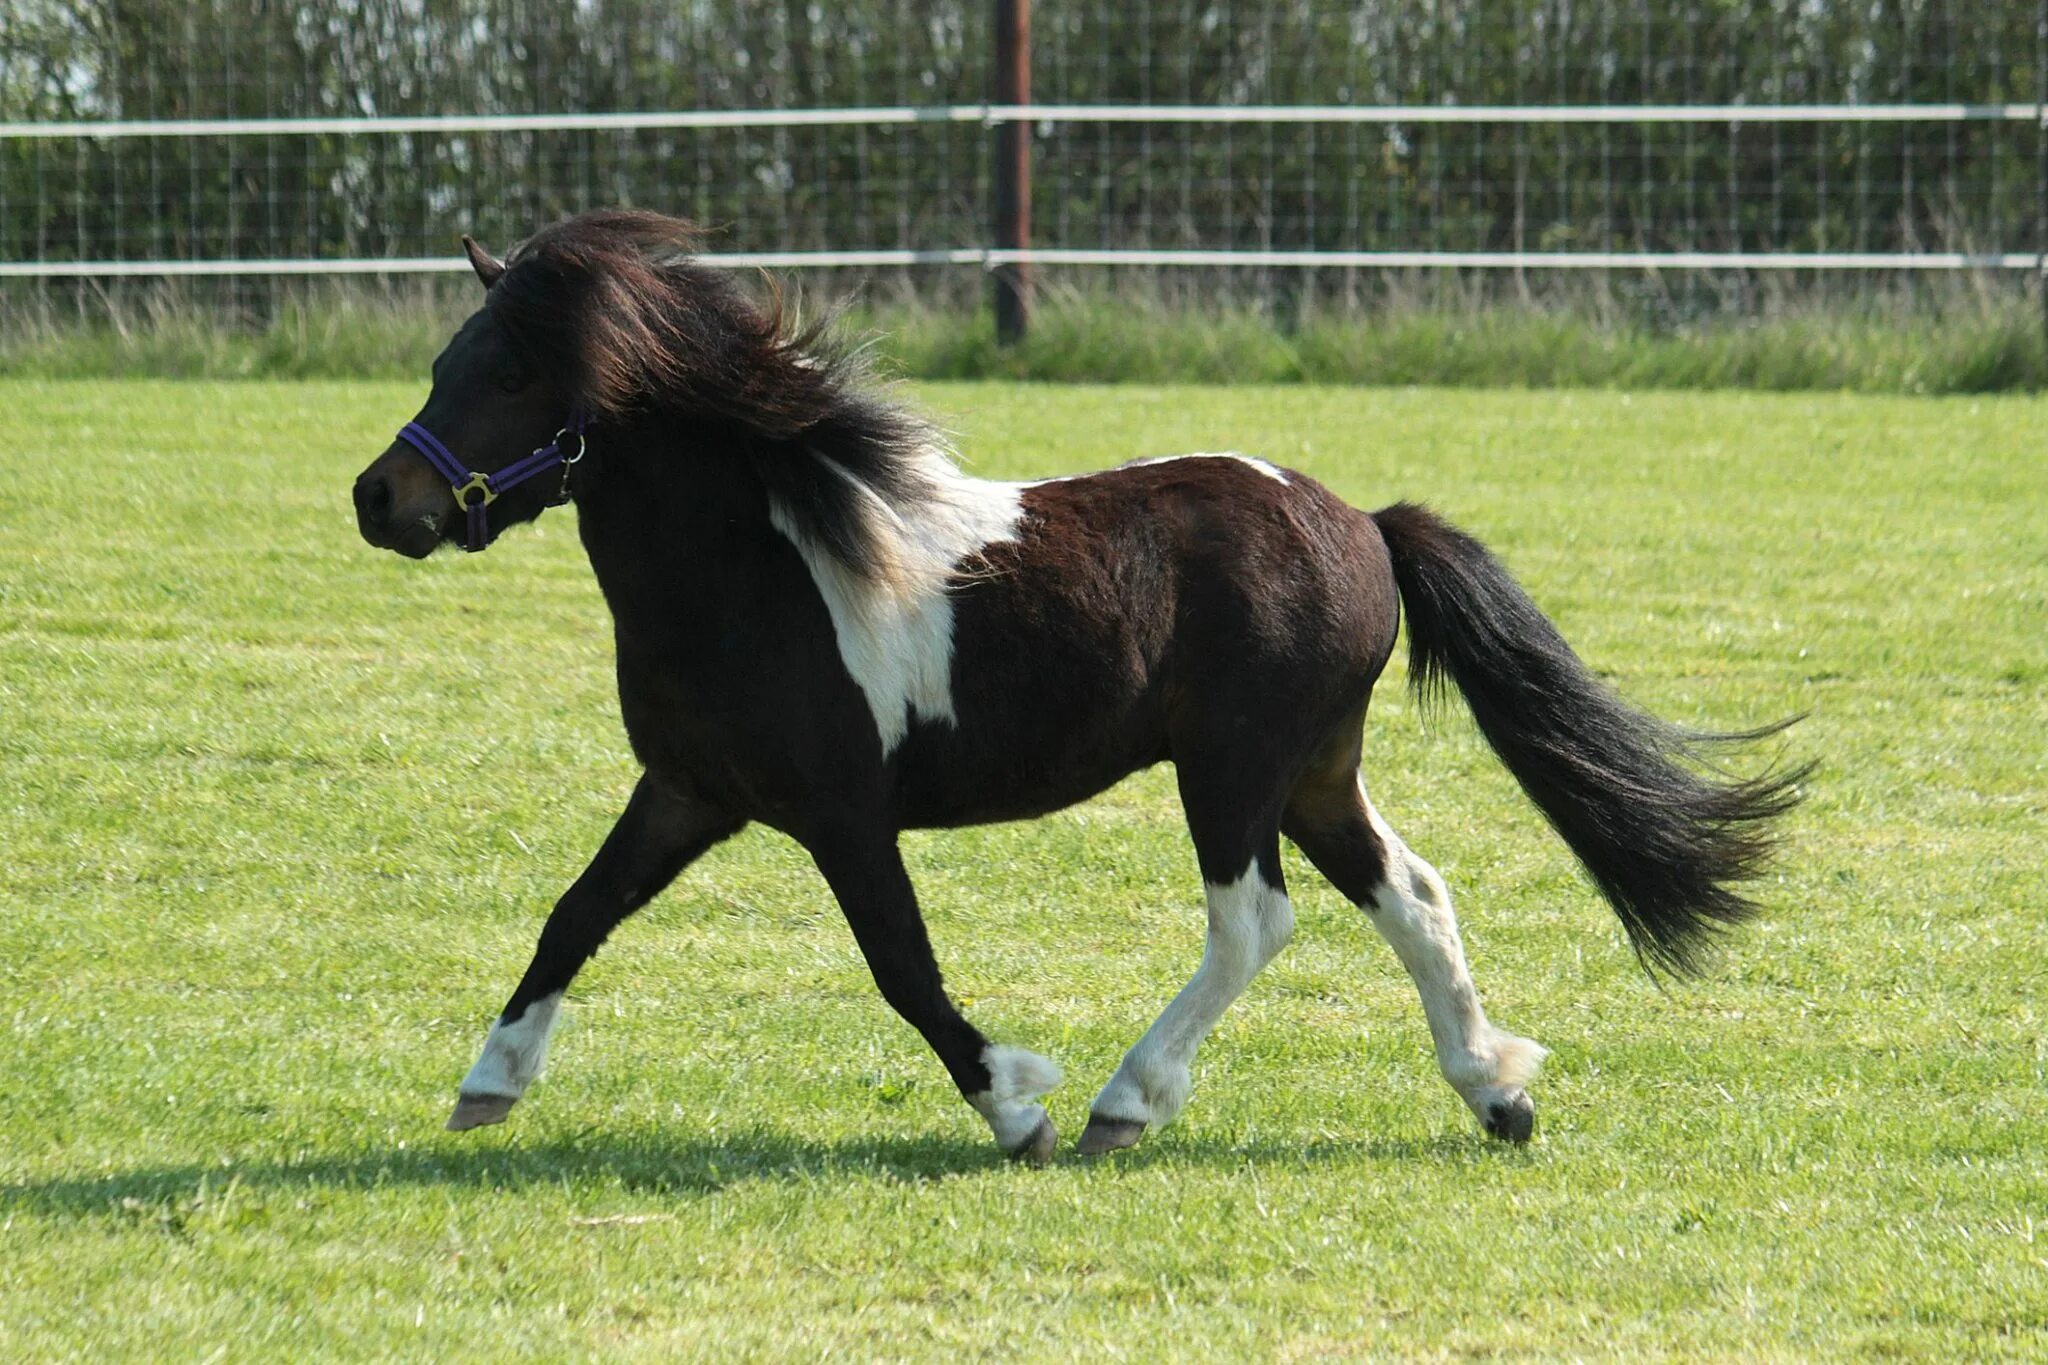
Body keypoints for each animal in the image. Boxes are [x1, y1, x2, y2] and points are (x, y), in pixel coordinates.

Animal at [356, 213, 1810, 1162]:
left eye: (510, 371)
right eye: (445, 360)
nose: (382, 498)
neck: (757, 568)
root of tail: (1359, 523)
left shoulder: (839, 811)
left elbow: (901, 965)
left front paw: (1018, 1106)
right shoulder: (687, 791)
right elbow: (573, 915)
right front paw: (487, 1084)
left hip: (1232, 767)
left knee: (1253, 922)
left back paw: (1128, 1099)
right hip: (1312, 770)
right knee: (1413, 893)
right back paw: (1496, 1093)